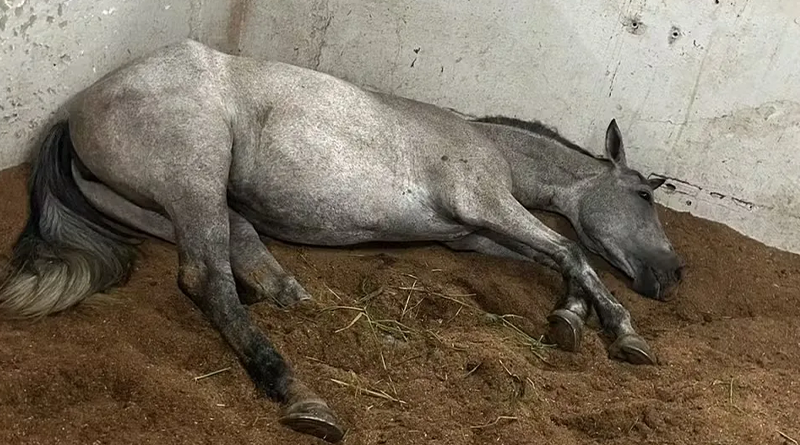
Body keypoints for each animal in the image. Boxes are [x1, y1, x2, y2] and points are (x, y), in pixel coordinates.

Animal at [0, 39, 683, 442]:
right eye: (645, 196)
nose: (673, 275)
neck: (487, 146)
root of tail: (74, 112)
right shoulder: (487, 204)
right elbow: (571, 251)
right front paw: (623, 333)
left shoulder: (474, 235)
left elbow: (561, 260)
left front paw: (573, 318)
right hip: (194, 176)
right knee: (205, 277)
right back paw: (299, 395)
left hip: (165, 206)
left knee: (235, 243)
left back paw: (284, 290)